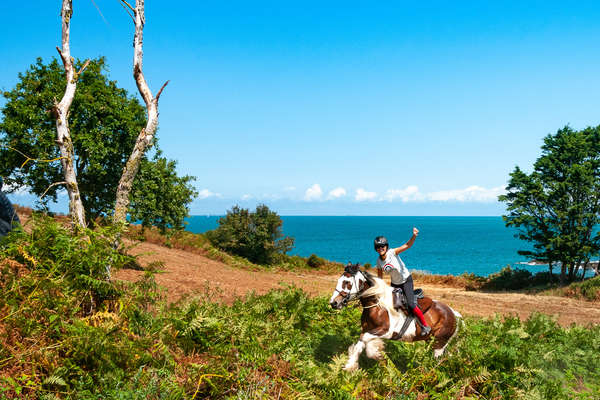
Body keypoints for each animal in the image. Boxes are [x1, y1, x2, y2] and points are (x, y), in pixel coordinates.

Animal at [330, 264, 462, 370]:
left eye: (347, 283)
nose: (334, 303)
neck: (377, 305)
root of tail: (452, 313)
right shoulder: (368, 329)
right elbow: (360, 343)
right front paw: (350, 366)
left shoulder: (386, 332)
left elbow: (365, 339)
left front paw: (374, 353)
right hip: (433, 341)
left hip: (439, 343)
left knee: (438, 359)